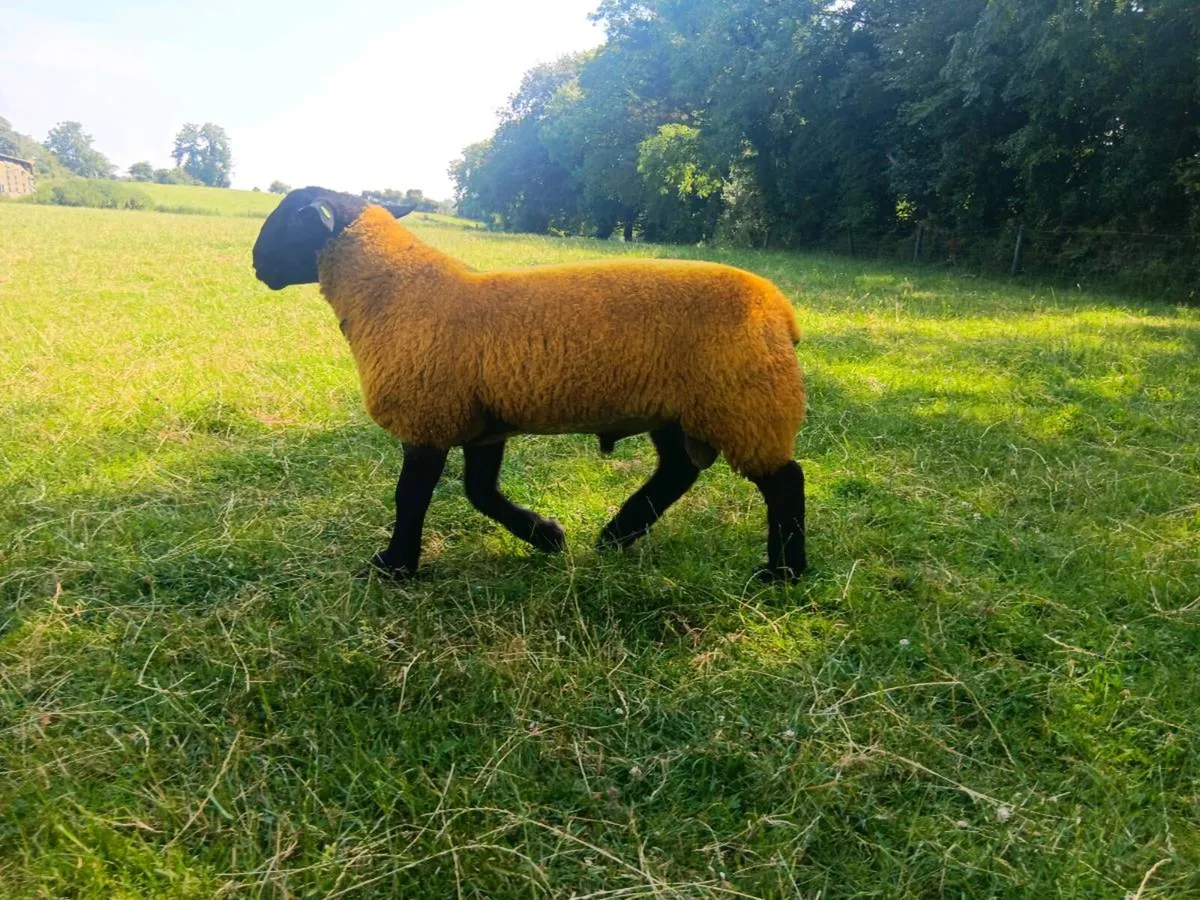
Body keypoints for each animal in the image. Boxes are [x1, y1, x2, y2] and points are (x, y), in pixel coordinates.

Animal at [251, 186, 808, 582]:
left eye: (284, 222)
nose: (256, 266)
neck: (395, 291)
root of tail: (780, 311)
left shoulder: (429, 417)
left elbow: (410, 497)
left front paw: (394, 567)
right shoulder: (482, 423)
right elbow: (480, 491)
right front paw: (547, 536)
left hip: (745, 402)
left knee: (785, 482)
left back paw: (783, 572)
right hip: (681, 409)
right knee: (677, 472)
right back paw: (613, 535)